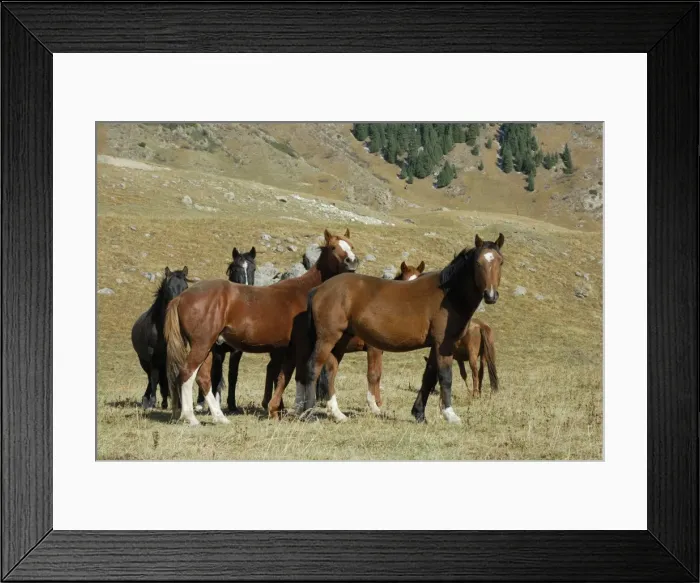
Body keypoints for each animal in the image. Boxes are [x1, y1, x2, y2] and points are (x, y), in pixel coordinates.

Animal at [130, 267, 190, 410]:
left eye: (185, 287)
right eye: (168, 287)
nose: (178, 305)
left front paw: (180, 403)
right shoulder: (153, 355)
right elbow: (154, 378)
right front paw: (151, 402)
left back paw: (164, 402)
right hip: (144, 361)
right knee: (151, 378)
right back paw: (147, 400)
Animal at [195, 246, 256, 413]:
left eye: (253, 269)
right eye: (235, 268)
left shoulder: (236, 352)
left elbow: (232, 375)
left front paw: (232, 405)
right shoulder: (218, 351)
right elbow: (216, 375)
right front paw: (215, 405)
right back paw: (200, 403)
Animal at [315, 260, 426, 415]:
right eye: (405, 281)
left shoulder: (379, 350)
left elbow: (378, 374)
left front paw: (378, 402)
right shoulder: (373, 349)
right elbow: (373, 374)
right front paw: (373, 405)